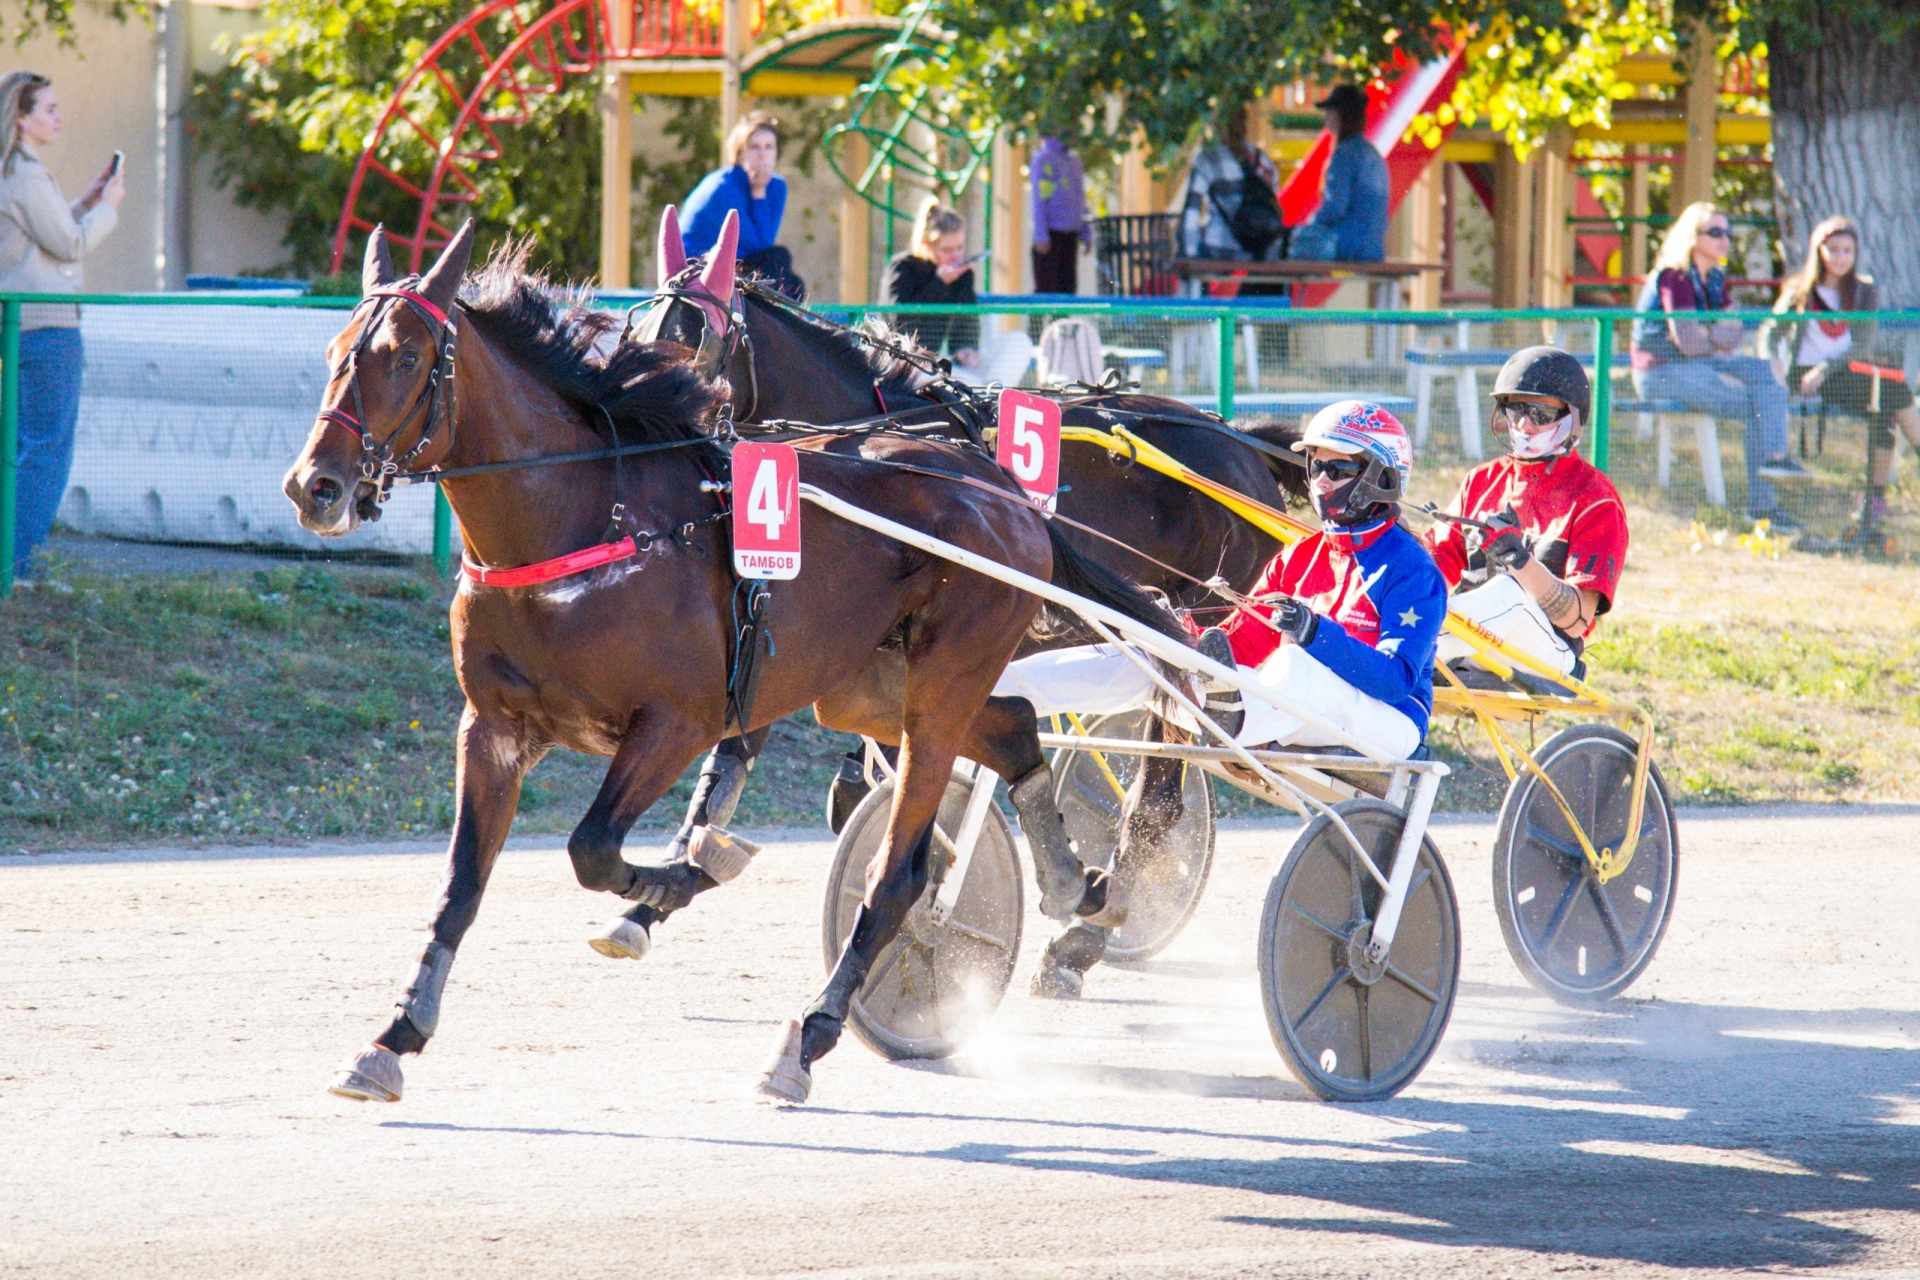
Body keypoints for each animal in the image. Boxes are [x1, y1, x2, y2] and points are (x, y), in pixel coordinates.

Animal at [284, 220, 1182, 1105]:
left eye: (403, 356)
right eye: (334, 351)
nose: (313, 486)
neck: (585, 520)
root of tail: (1002, 487)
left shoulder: (677, 721)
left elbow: (593, 847)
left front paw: (678, 877)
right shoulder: (494, 729)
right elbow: (461, 886)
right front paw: (393, 1037)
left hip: (944, 679)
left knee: (902, 869)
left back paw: (810, 1034)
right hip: (867, 686)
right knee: (1016, 725)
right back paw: (1074, 884)